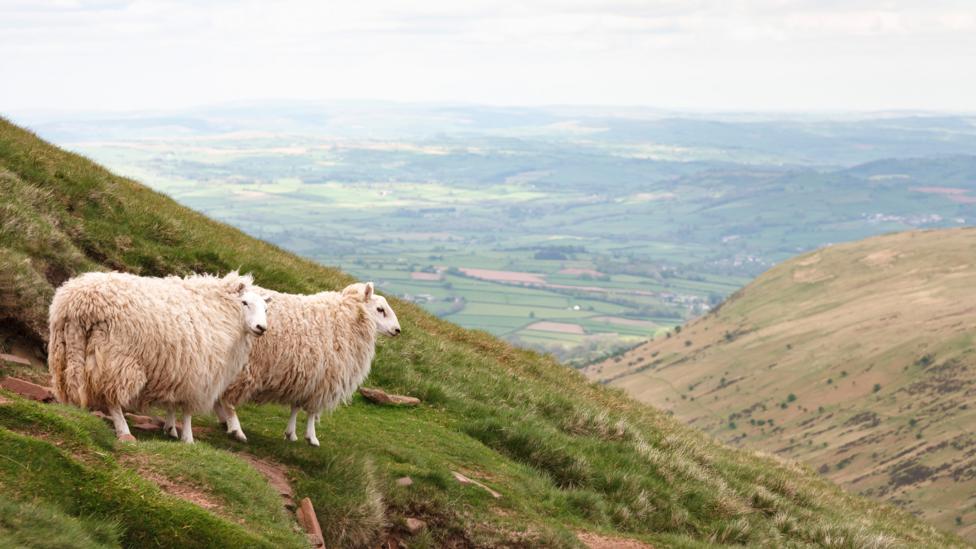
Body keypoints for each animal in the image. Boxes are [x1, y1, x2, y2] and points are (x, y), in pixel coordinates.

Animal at [48, 272, 268, 444]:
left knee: (73, 383)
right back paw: (124, 431)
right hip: (117, 358)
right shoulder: (198, 374)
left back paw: (74, 413)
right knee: (112, 399)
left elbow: (171, 402)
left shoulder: (177, 369)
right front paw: (188, 438)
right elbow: (187, 411)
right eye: (245, 302)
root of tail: (79, 303)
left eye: (265, 309)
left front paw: (170, 429)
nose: (261, 328)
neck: (221, 310)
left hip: (67, 349)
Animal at [216, 282, 400, 446]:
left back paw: (225, 421)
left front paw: (291, 433)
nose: (398, 330)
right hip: (244, 367)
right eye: (380, 309)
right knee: (228, 400)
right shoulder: (323, 380)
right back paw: (236, 429)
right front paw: (311, 437)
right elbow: (312, 411)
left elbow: (296, 406)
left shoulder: (305, 377)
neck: (346, 320)